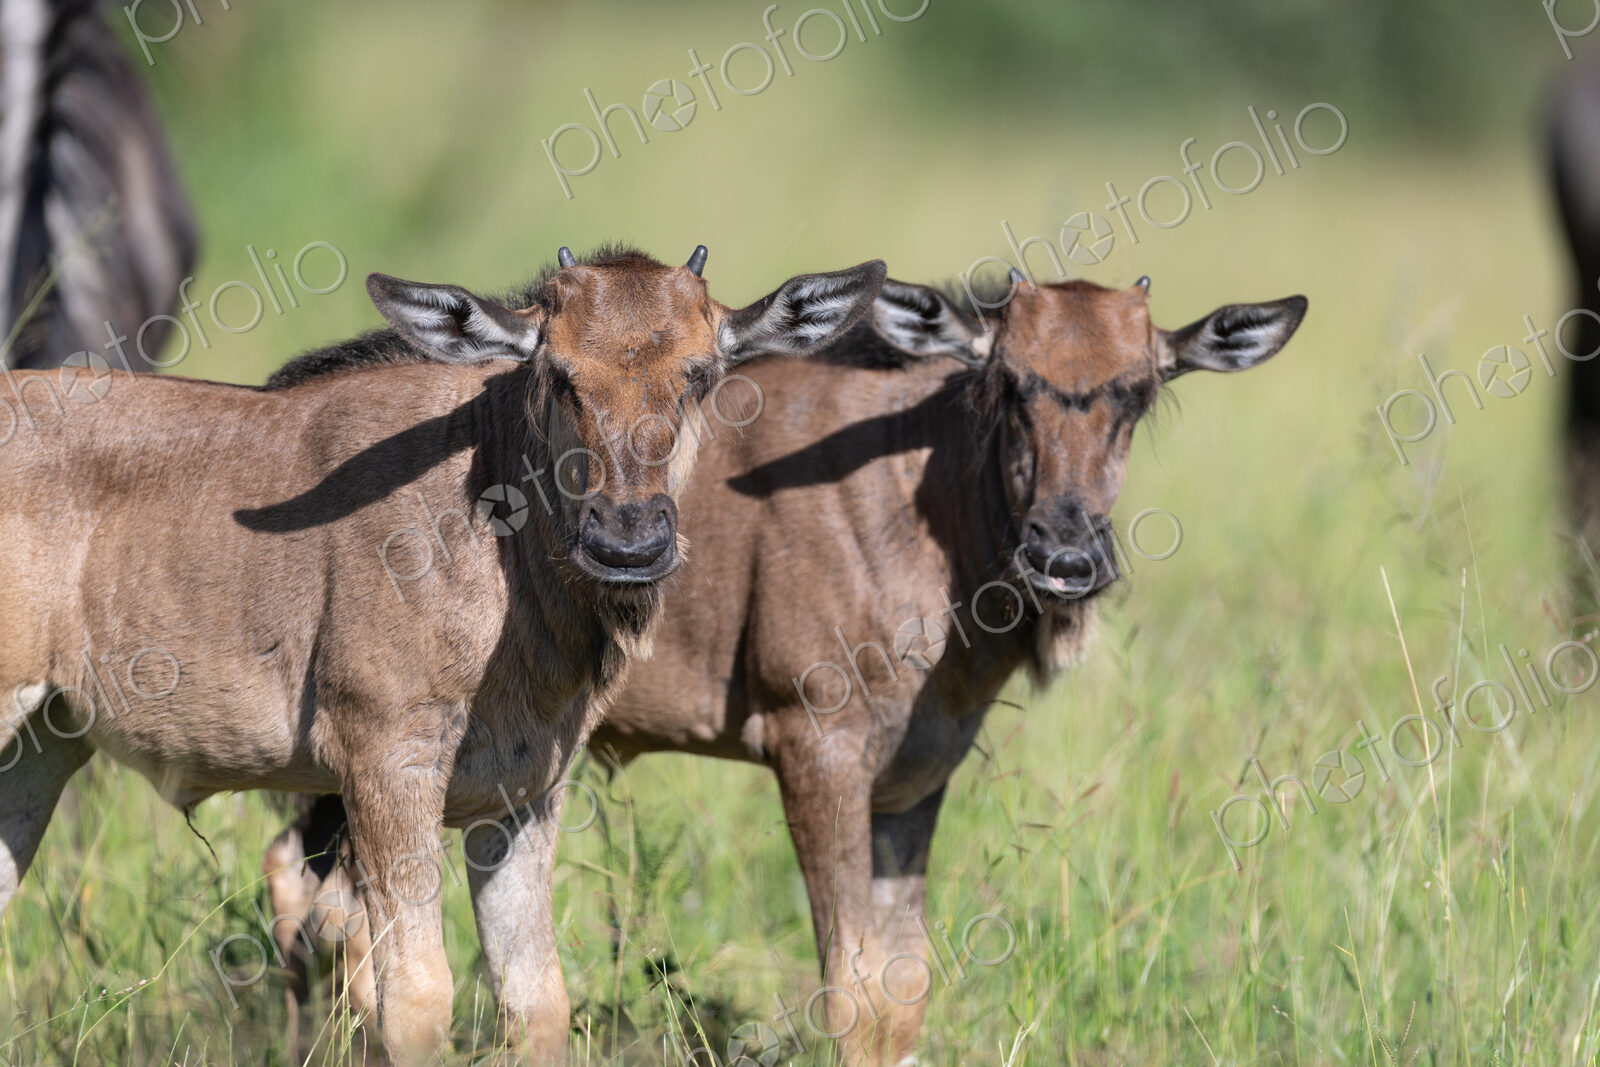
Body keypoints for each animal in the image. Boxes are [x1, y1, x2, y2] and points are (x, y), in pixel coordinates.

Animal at [0, 243, 887, 1064]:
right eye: (559, 374)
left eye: (701, 374)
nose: (628, 542)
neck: (491, 510)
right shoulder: (385, 762)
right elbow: (417, 996)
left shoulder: (523, 796)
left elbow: (535, 997)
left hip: (40, 749)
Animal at [263, 270, 1307, 1064]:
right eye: (1008, 383)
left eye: (1139, 390)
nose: (1065, 555)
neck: (923, 500)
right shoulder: (816, 748)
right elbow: (851, 992)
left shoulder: (913, 780)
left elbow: (905, 992)